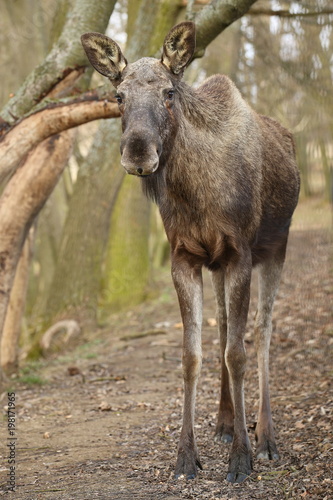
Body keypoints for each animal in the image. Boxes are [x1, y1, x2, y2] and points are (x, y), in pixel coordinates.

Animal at [81, 21, 300, 482]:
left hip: (276, 248)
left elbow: (238, 353)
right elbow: (191, 355)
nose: (138, 151)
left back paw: (266, 438)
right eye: (118, 96)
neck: (195, 192)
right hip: (217, 267)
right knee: (224, 330)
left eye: (169, 92)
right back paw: (225, 422)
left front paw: (241, 458)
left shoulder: (240, 255)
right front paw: (185, 457)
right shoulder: (184, 258)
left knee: (263, 332)